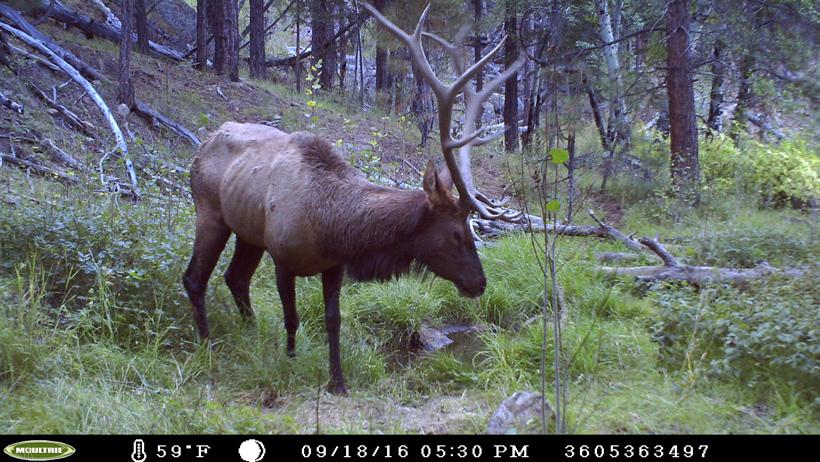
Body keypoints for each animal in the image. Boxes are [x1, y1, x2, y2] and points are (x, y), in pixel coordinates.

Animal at [182, 3, 524, 394]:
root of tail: (203, 144)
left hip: (249, 232)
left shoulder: (334, 265)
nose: (479, 283)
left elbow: (334, 320)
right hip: (210, 212)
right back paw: (207, 343)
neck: (330, 227)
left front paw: (338, 381)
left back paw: (251, 333)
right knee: (195, 278)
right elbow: (292, 317)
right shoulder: (282, 258)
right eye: (456, 233)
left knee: (235, 278)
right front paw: (291, 361)